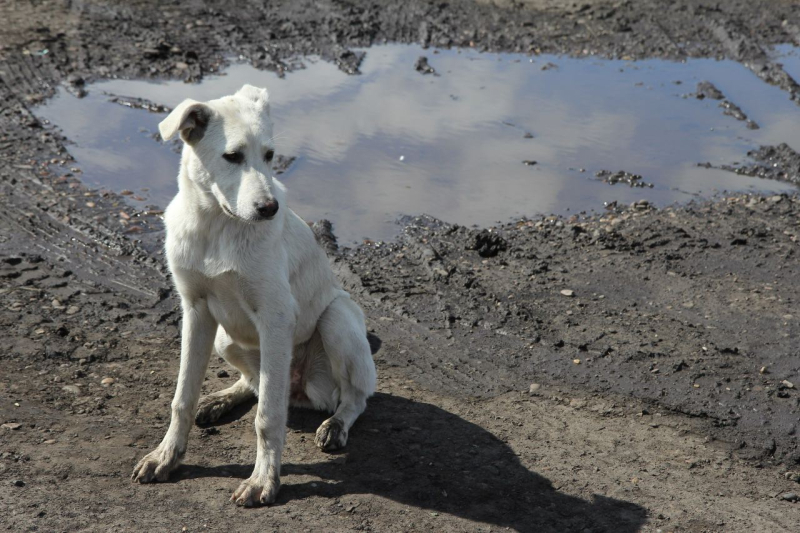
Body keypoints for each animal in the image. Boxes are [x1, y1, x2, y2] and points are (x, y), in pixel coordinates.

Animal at [131, 85, 378, 504]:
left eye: (269, 155)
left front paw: (264, 480)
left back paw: (335, 424)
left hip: (337, 320)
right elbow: (182, 398)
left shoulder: (276, 316)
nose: (269, 208)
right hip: (224, 338)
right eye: (232, 156)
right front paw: (166, 456)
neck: (218, 224)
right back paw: (220, 400)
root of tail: (300, 388)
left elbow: (268, 417)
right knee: (254, 382)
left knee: (352, 396)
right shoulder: (196, 310)